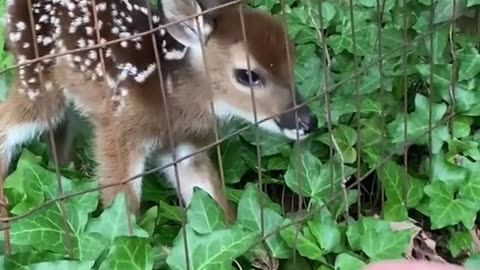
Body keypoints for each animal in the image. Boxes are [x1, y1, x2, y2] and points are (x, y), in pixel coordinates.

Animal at [1, 0, 320, 219]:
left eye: (293, 60)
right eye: (248, 75)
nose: (307, 121)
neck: (171, 102)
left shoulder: (184, 145)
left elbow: (211, 199)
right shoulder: (119, 132)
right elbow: (122, 204)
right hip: (38, 79)